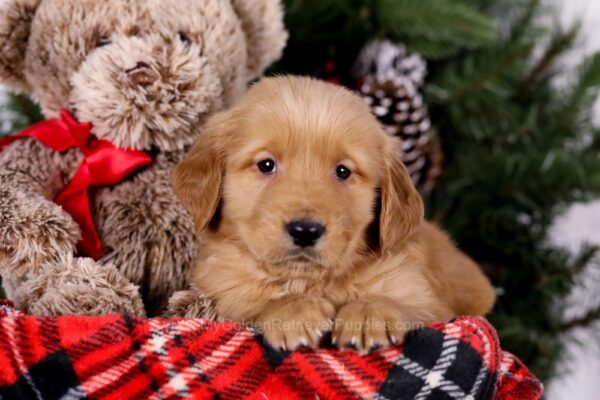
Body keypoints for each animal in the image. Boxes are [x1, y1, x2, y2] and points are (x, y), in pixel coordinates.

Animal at [171, 75, 494, 354]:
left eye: (342, 171)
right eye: (266, 165)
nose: (305, 231)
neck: (309, 281)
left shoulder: (431, 301)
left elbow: (412, 307)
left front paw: (369, 313)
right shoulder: (224, 291)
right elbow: (254, 305)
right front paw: (294, 310)